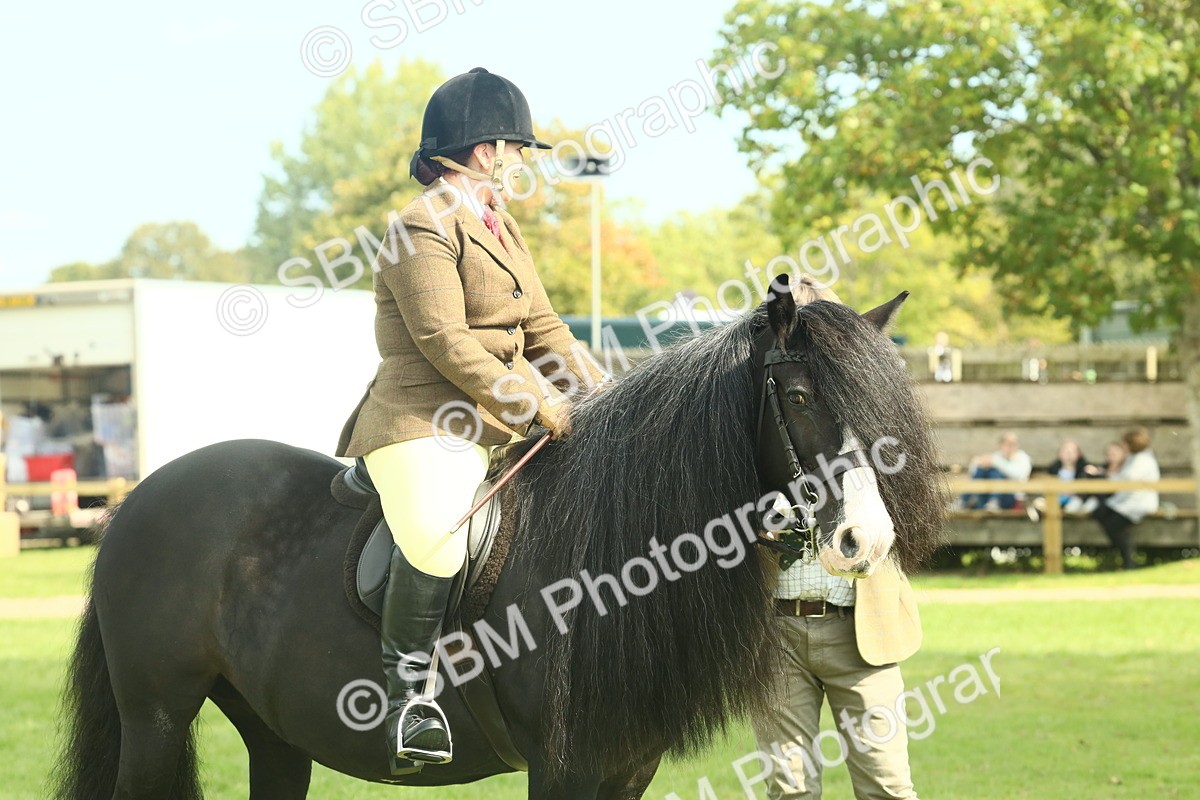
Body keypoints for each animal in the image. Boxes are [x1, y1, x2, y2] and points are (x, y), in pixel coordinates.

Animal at [51, 277, 947, 799]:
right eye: (797, 396)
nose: (866, 539)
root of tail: (141, 497)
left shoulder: (626, 767)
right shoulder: (565, 767)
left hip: (272, 731)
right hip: (156, 716)